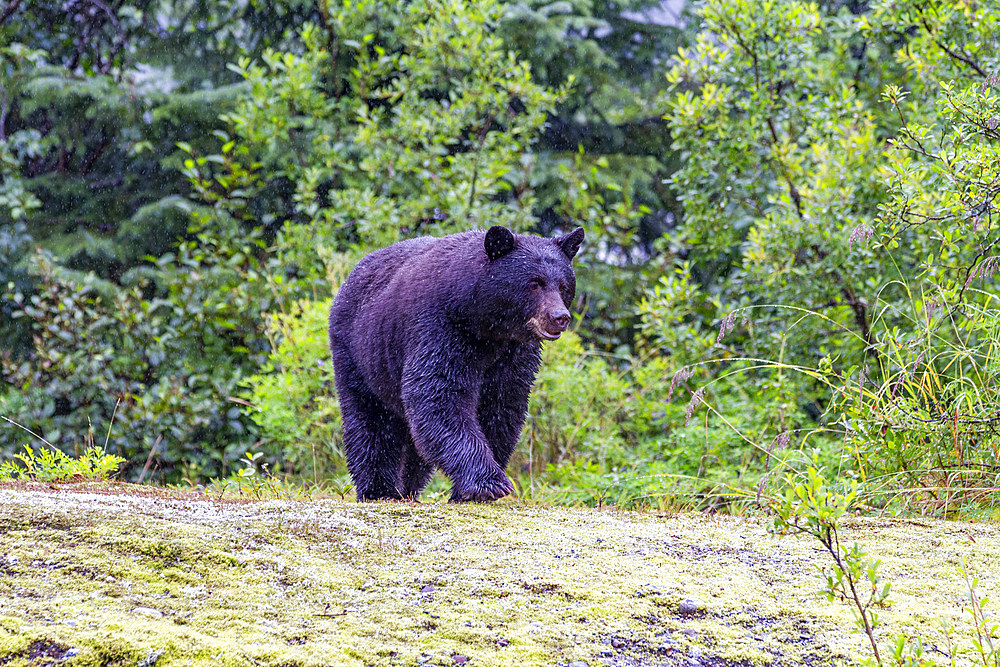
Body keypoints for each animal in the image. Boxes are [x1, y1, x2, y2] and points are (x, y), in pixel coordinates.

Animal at [334, 224, 584, 500]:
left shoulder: (514, 354)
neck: (485, 325)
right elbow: (440, 395)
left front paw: (467, 489)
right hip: (359, 352)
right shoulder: (441, 328)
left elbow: (501, 405)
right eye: (534, 283)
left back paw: (407, 488)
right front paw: (489, 482)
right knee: (370, 420)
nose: (560, 317)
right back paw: (379, 489)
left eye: (563, 286)